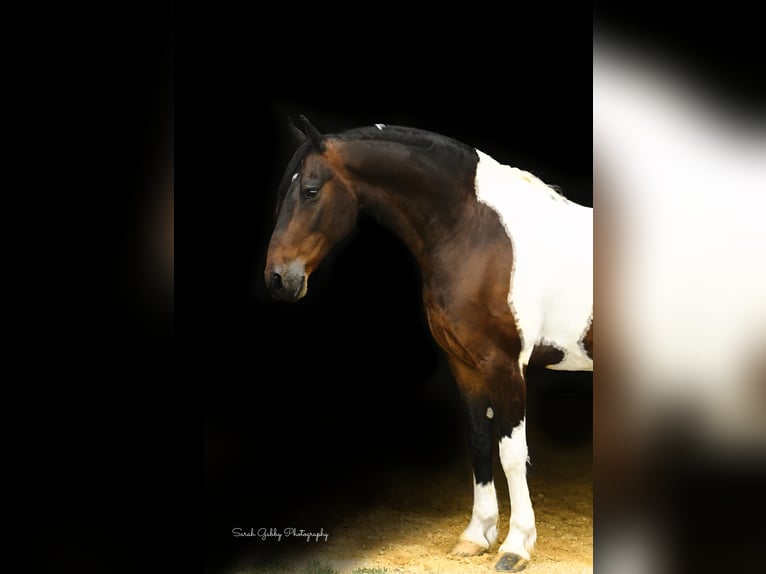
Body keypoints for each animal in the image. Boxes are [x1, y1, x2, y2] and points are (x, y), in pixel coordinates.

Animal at [268, 116, 596, 572]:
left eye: (311, 191)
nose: (278, 278)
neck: (474, 231)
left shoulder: (505, 365)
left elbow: (512, 454)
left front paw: (515, 546)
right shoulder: (466, 364)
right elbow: (479, 443)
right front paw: (476, 535)